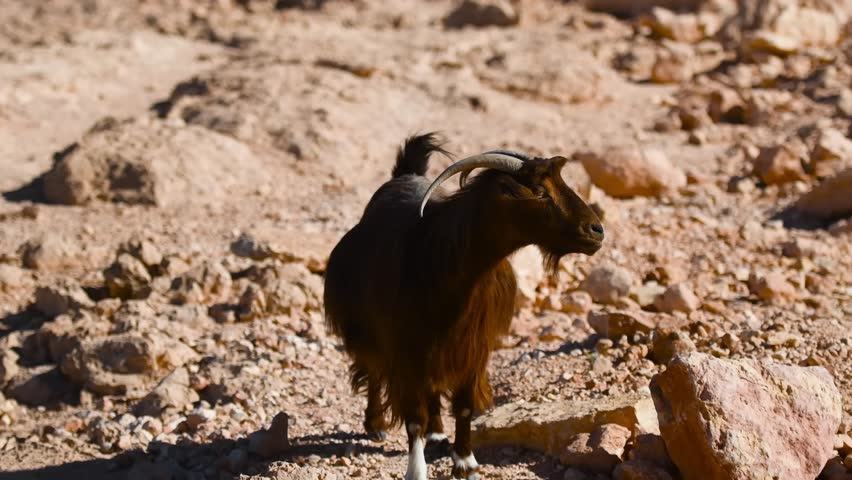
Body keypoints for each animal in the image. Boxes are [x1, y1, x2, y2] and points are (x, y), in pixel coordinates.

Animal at [323, 133, 604, 480]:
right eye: (539, 192)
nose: (596, 231)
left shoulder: (472, 347)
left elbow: (465, 404)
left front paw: (465, 461)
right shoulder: (405, 348)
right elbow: (413, 416)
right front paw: (417, 470)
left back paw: (437, 432)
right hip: (368, 329)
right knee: (373, 369)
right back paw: (376, 424)